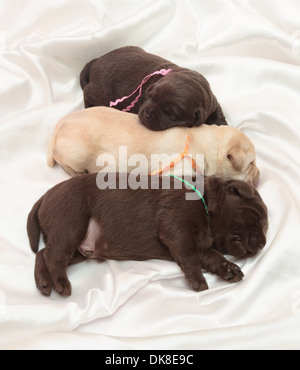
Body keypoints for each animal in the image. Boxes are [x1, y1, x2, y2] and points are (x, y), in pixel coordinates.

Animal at [27, 174, 268, 298]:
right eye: (255, 215)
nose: (263, 243)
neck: (204, 199)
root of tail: (46, 195)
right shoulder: (176, 227)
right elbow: (189, 255)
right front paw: (198, 280)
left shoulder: (195, 245)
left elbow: (212, 256)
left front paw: (230, 270)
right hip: (70, 222)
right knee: (53, 256)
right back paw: (60, 284)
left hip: (78, 247)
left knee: (43, 253)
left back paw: (43, 283)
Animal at [47, 107, 260, 186]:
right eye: (250, 165)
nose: (259, 175)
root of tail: (61, 123)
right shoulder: (176, 171)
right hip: (76, 155)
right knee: (62, 161)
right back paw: (77, 173)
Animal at [80, 46, 227, 130]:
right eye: (150, 96)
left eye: (171, 114)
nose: (146, 114)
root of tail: (97, 60)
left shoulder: (212, 102)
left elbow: (218, 114)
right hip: (102, 92)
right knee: (87, 92)